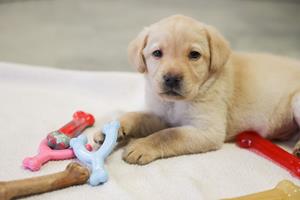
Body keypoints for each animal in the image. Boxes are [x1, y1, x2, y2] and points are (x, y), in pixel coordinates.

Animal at [95, 15, 300, 166]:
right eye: (157, 53)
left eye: (194, 55)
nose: (171, 78)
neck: (176, 103)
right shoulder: (162, 115)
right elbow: (137, 116)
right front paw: (111, 130)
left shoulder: (208, 130)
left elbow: (169, 135)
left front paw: (142, 146)